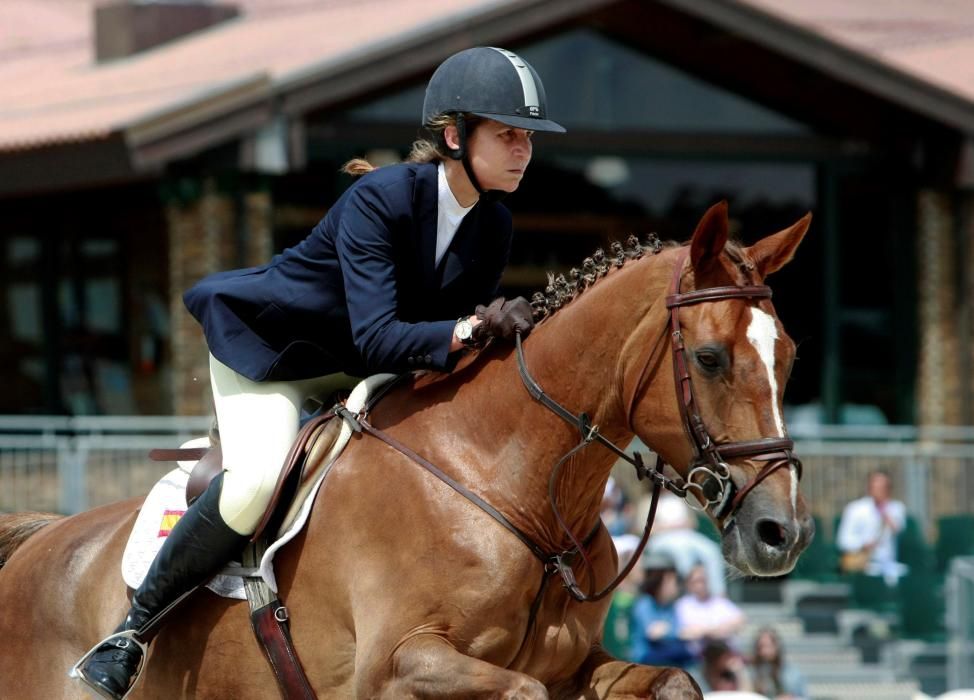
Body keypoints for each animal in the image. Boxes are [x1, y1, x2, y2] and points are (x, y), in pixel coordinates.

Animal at [0, 200, 812, 696]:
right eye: (709, 359)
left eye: (792, 356)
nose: (784, 533)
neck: (507, 481)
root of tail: (37, 540)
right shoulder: (395, 667)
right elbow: (519, 689)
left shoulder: (574, 661)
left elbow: (673, 679)